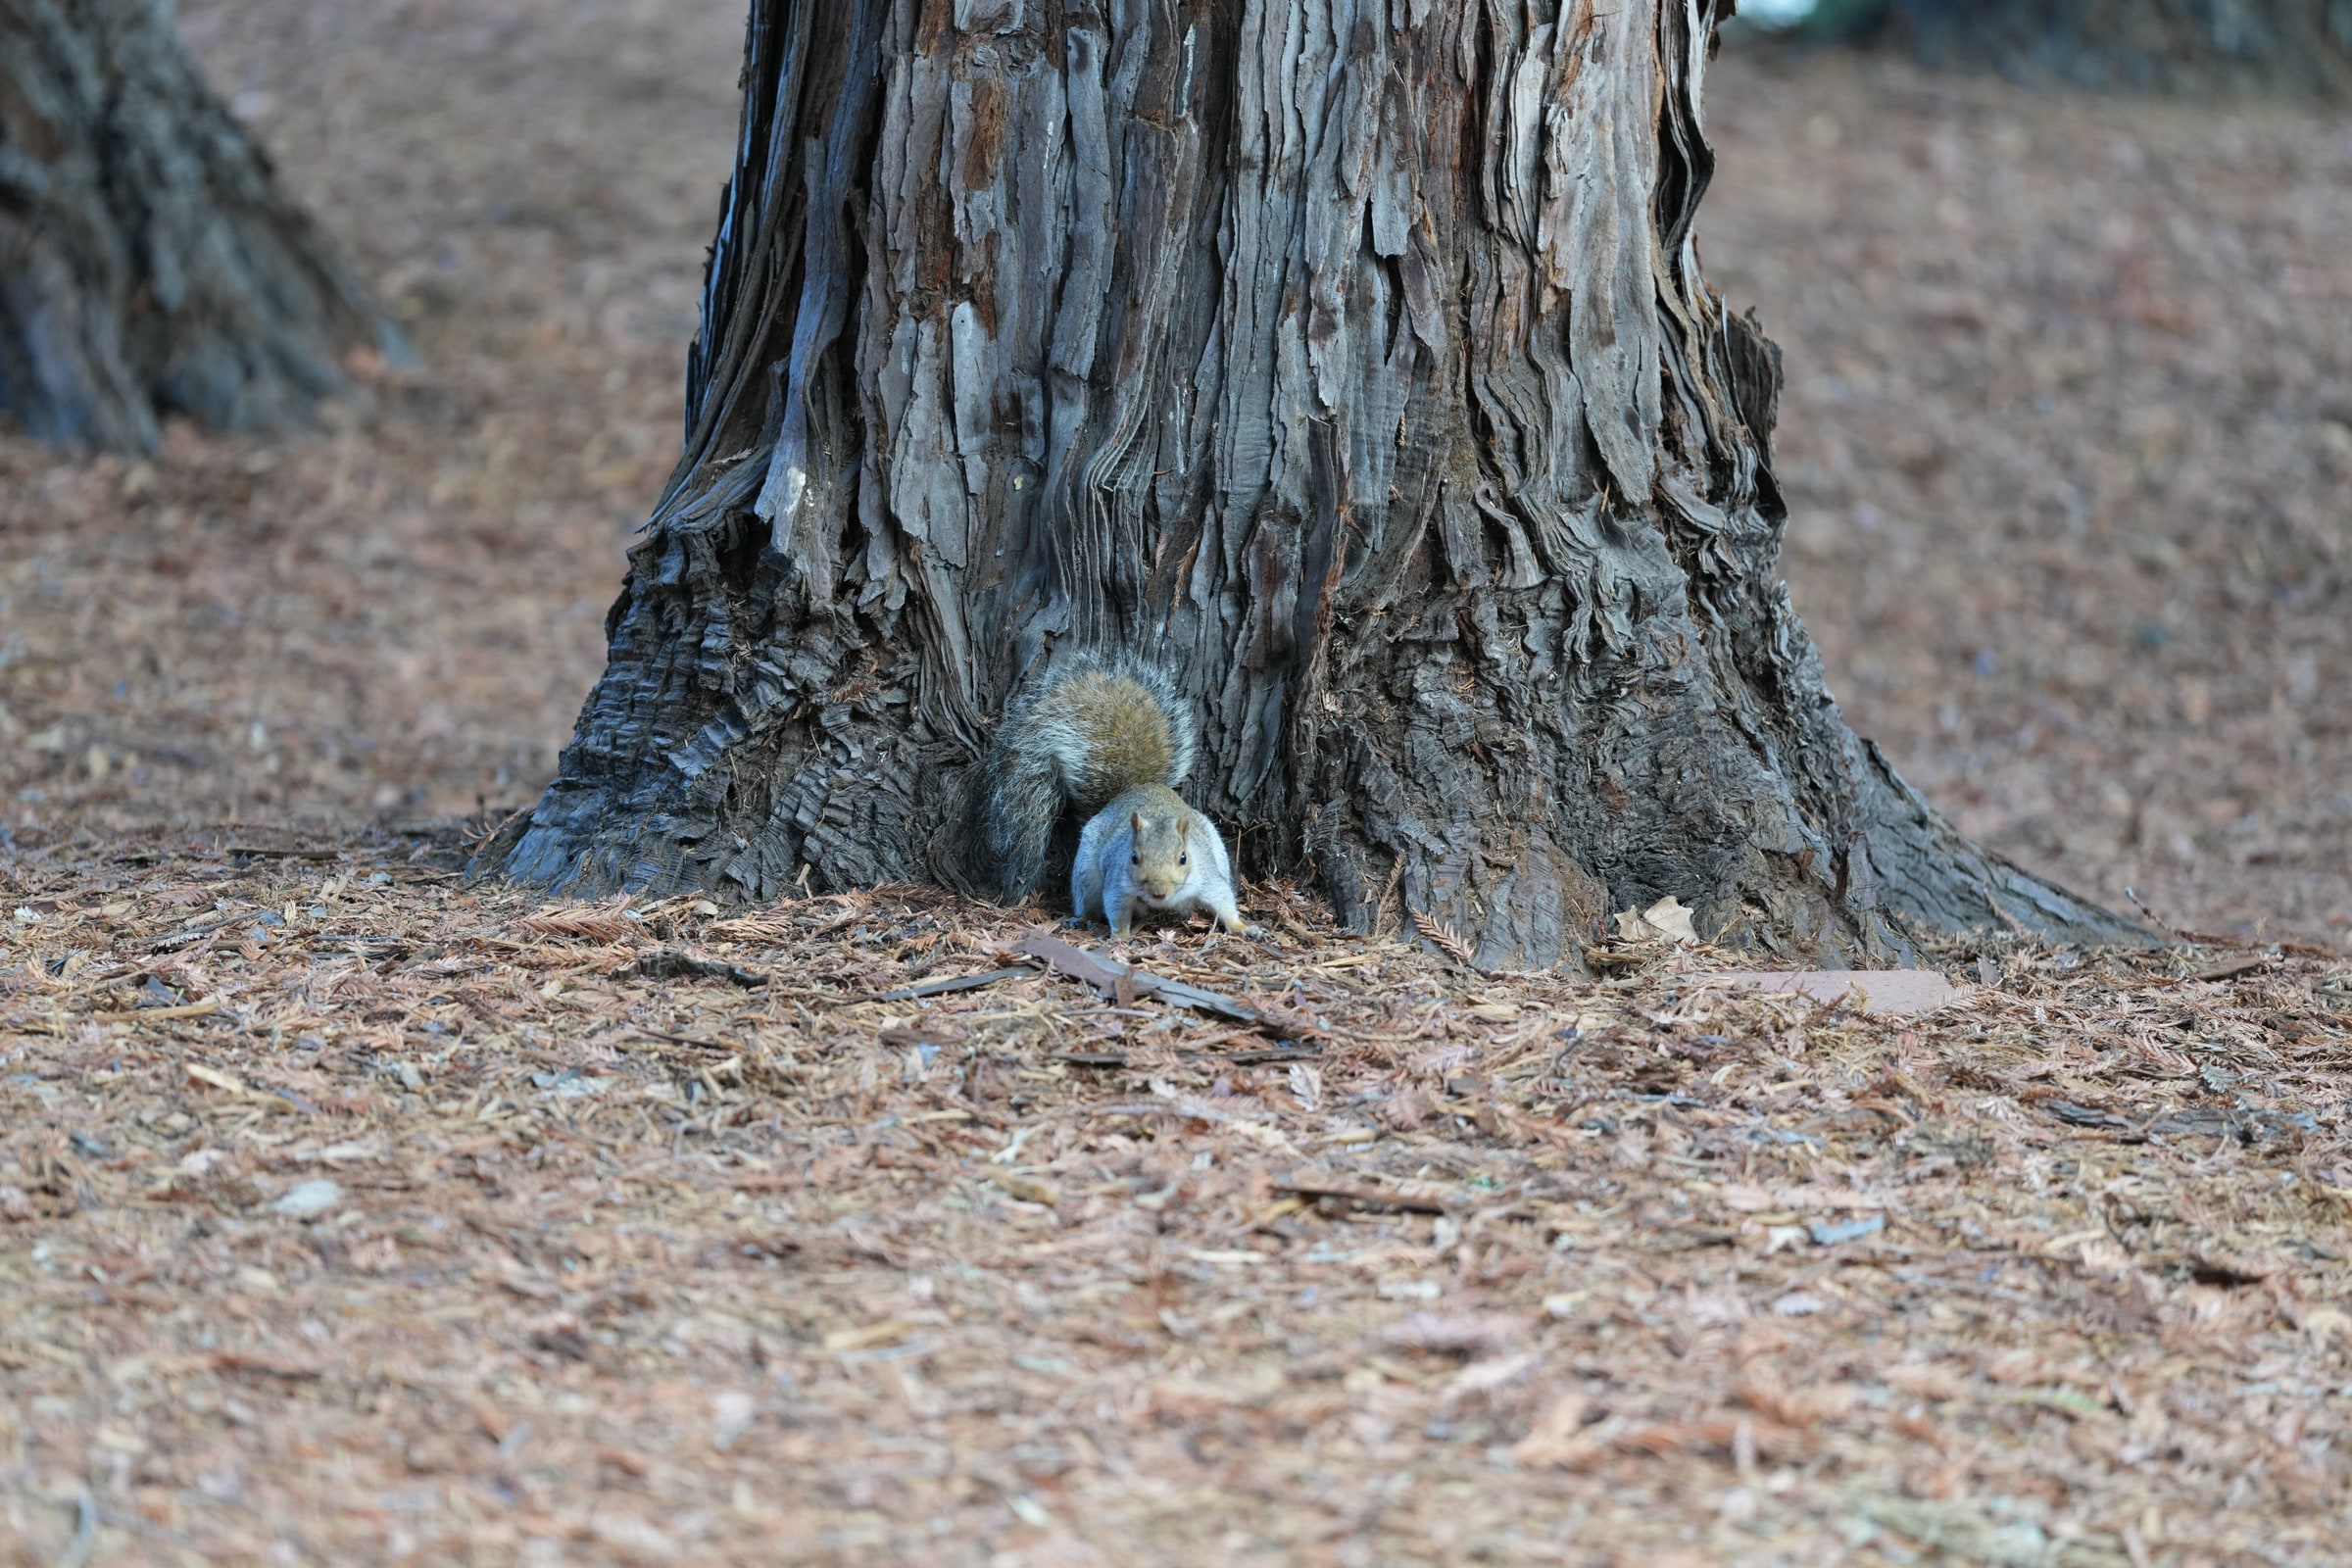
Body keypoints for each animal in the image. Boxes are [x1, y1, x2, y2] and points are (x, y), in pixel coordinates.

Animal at [980, 653, 1245, 933]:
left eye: (1184, 858)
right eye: (1134, 857)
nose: (1158, 890)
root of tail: (1134, 789)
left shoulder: (1207, 876)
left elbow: (1222, 898)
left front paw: (1241, 927)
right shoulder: (1117, 883)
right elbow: (1115, 907)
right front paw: (1120, 936)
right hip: (1086, 869)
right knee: (1087, 897)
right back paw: (1084, 918)